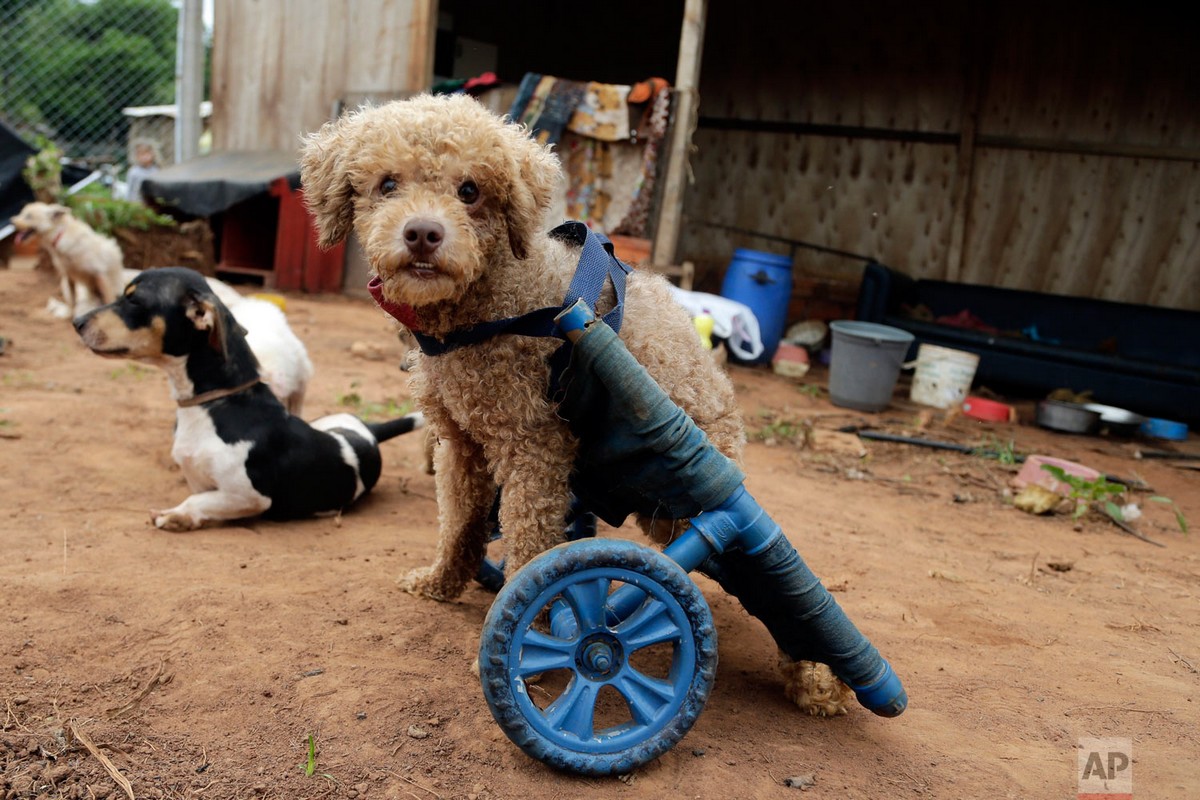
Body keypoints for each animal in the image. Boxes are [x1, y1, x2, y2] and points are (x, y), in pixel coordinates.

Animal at [73, 268, 422, 532]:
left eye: (133, 300)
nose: (76, 323)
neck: (216, 406)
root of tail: (369, 431)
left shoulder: (250, 496)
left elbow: (197, 501)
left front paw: (176, 515)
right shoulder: (201, 481)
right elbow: (199, 496)